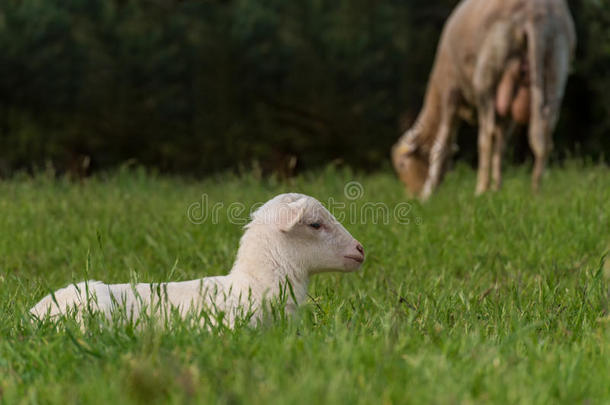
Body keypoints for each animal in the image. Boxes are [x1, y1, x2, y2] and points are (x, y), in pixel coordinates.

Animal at [392, 0, 572, 200]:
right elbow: (501, 146)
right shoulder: (507, 113)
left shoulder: (450, 91)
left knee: (487, 137)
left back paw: (481, 189)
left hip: (487, 72)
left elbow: (442, 145)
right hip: (555, 62)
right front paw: (497, 188)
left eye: (401, 165)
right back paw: (535, 191)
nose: (411, 196)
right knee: (543, 132)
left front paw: (428, 194)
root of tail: (536, 13)